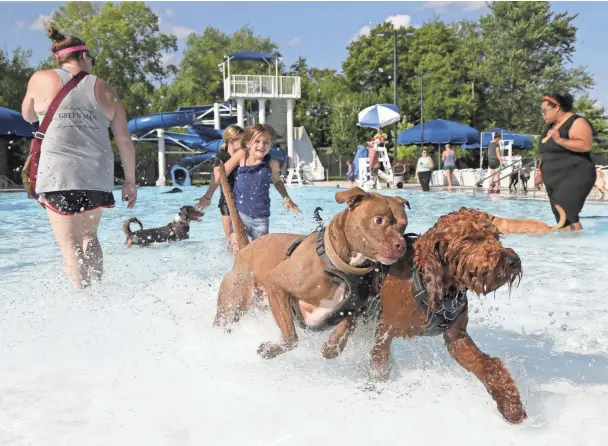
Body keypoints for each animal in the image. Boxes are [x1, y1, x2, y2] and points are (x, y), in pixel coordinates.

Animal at [214, 163, 408, 358]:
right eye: (378, 220)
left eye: (404, 224)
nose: (402, 245)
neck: (339, 265)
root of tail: (245, 249)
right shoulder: (276, 284)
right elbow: (291, 336)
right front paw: (272, 349)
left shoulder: (358, 308)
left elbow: (347, 324)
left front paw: (332, 345)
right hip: (232, 305)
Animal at [368, 207, 528, 424]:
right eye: (470, 238)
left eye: (496, 236)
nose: (513, 261)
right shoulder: (385, 330)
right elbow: (379, 365)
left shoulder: (456, 338)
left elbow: (489, 365)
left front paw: (510, 402)